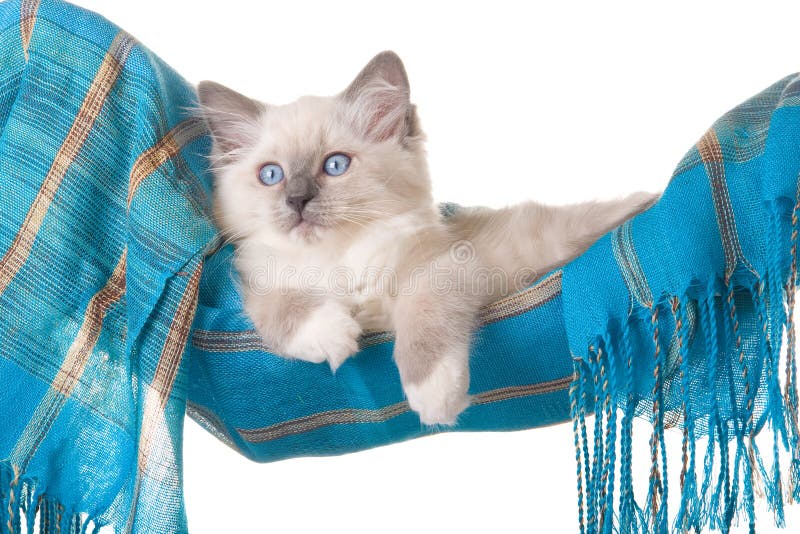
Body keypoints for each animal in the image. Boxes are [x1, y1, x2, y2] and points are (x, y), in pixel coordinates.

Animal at [198, 51, 656, 428]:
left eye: (335, 165)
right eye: (271, 175)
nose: (296, 200)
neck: (337, 258)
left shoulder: (446, 266)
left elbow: (424, 319)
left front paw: (433, 392)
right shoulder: (257, 281)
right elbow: (281, 307)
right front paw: (328, 332)